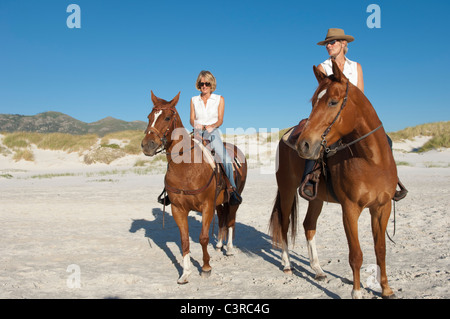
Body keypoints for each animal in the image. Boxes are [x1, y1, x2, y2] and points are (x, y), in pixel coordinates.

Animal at [142, 91, 246, 284]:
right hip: (220, 201)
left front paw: (206, 267)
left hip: (233, 199)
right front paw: (186, 273)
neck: (186, 168)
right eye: (149, 117)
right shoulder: (178, 209)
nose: (147, 145)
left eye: (167, 117)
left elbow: (203, 238)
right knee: (222, 218)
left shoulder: (206, 206)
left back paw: (229, 248)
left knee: (230, 221)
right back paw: (219, 245)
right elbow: (184, 240)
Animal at [268, 60, 396, 300]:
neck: (372, 161)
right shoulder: (350, 209)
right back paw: (287, 264)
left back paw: (318, 270)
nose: (303, 145)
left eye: (333, 102)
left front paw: (386, 289)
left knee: (309, 225)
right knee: (284, 224)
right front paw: (356, 292)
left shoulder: (382, 208)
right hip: (287, 189)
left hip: (316, 198)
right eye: (313, 102)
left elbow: (381, 250)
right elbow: (356, 254)